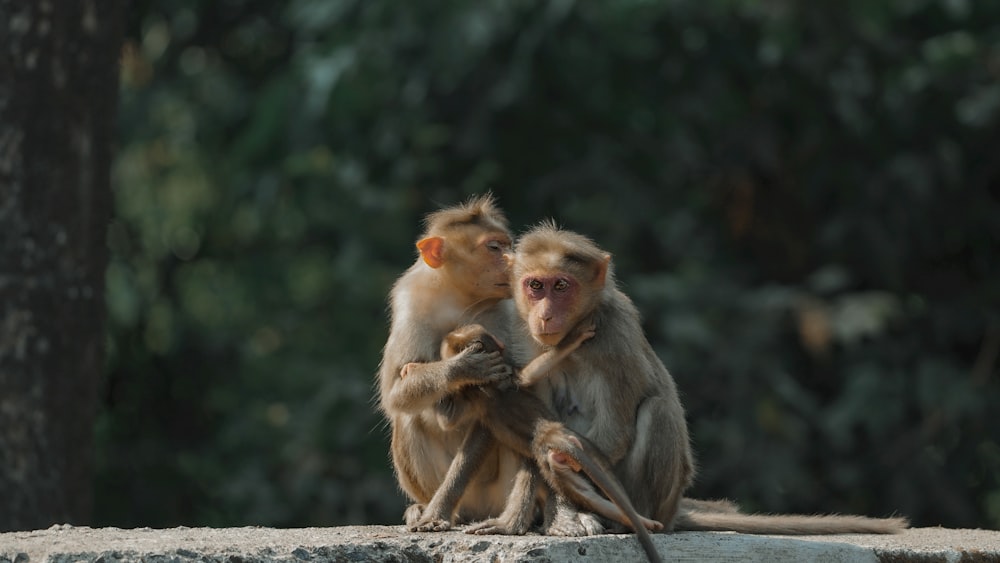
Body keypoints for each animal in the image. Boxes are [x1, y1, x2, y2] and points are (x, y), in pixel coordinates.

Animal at [436, 324, 664, 563]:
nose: (501, 344)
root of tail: (552, 435)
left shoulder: (479, 387)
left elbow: (450, 418)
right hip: (581, 449)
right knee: (596, 487)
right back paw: (643, 521)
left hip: (561, 452)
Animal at [508, 221, 908, 536]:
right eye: (536, 286)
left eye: (561, 286)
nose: (545, 315)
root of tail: (671, 513)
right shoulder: (526, 338)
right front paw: (561, 499)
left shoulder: (615, 336)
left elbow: (616, 429)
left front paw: (561, 462)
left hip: (655, 500)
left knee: (657, 411)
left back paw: (627, 519)